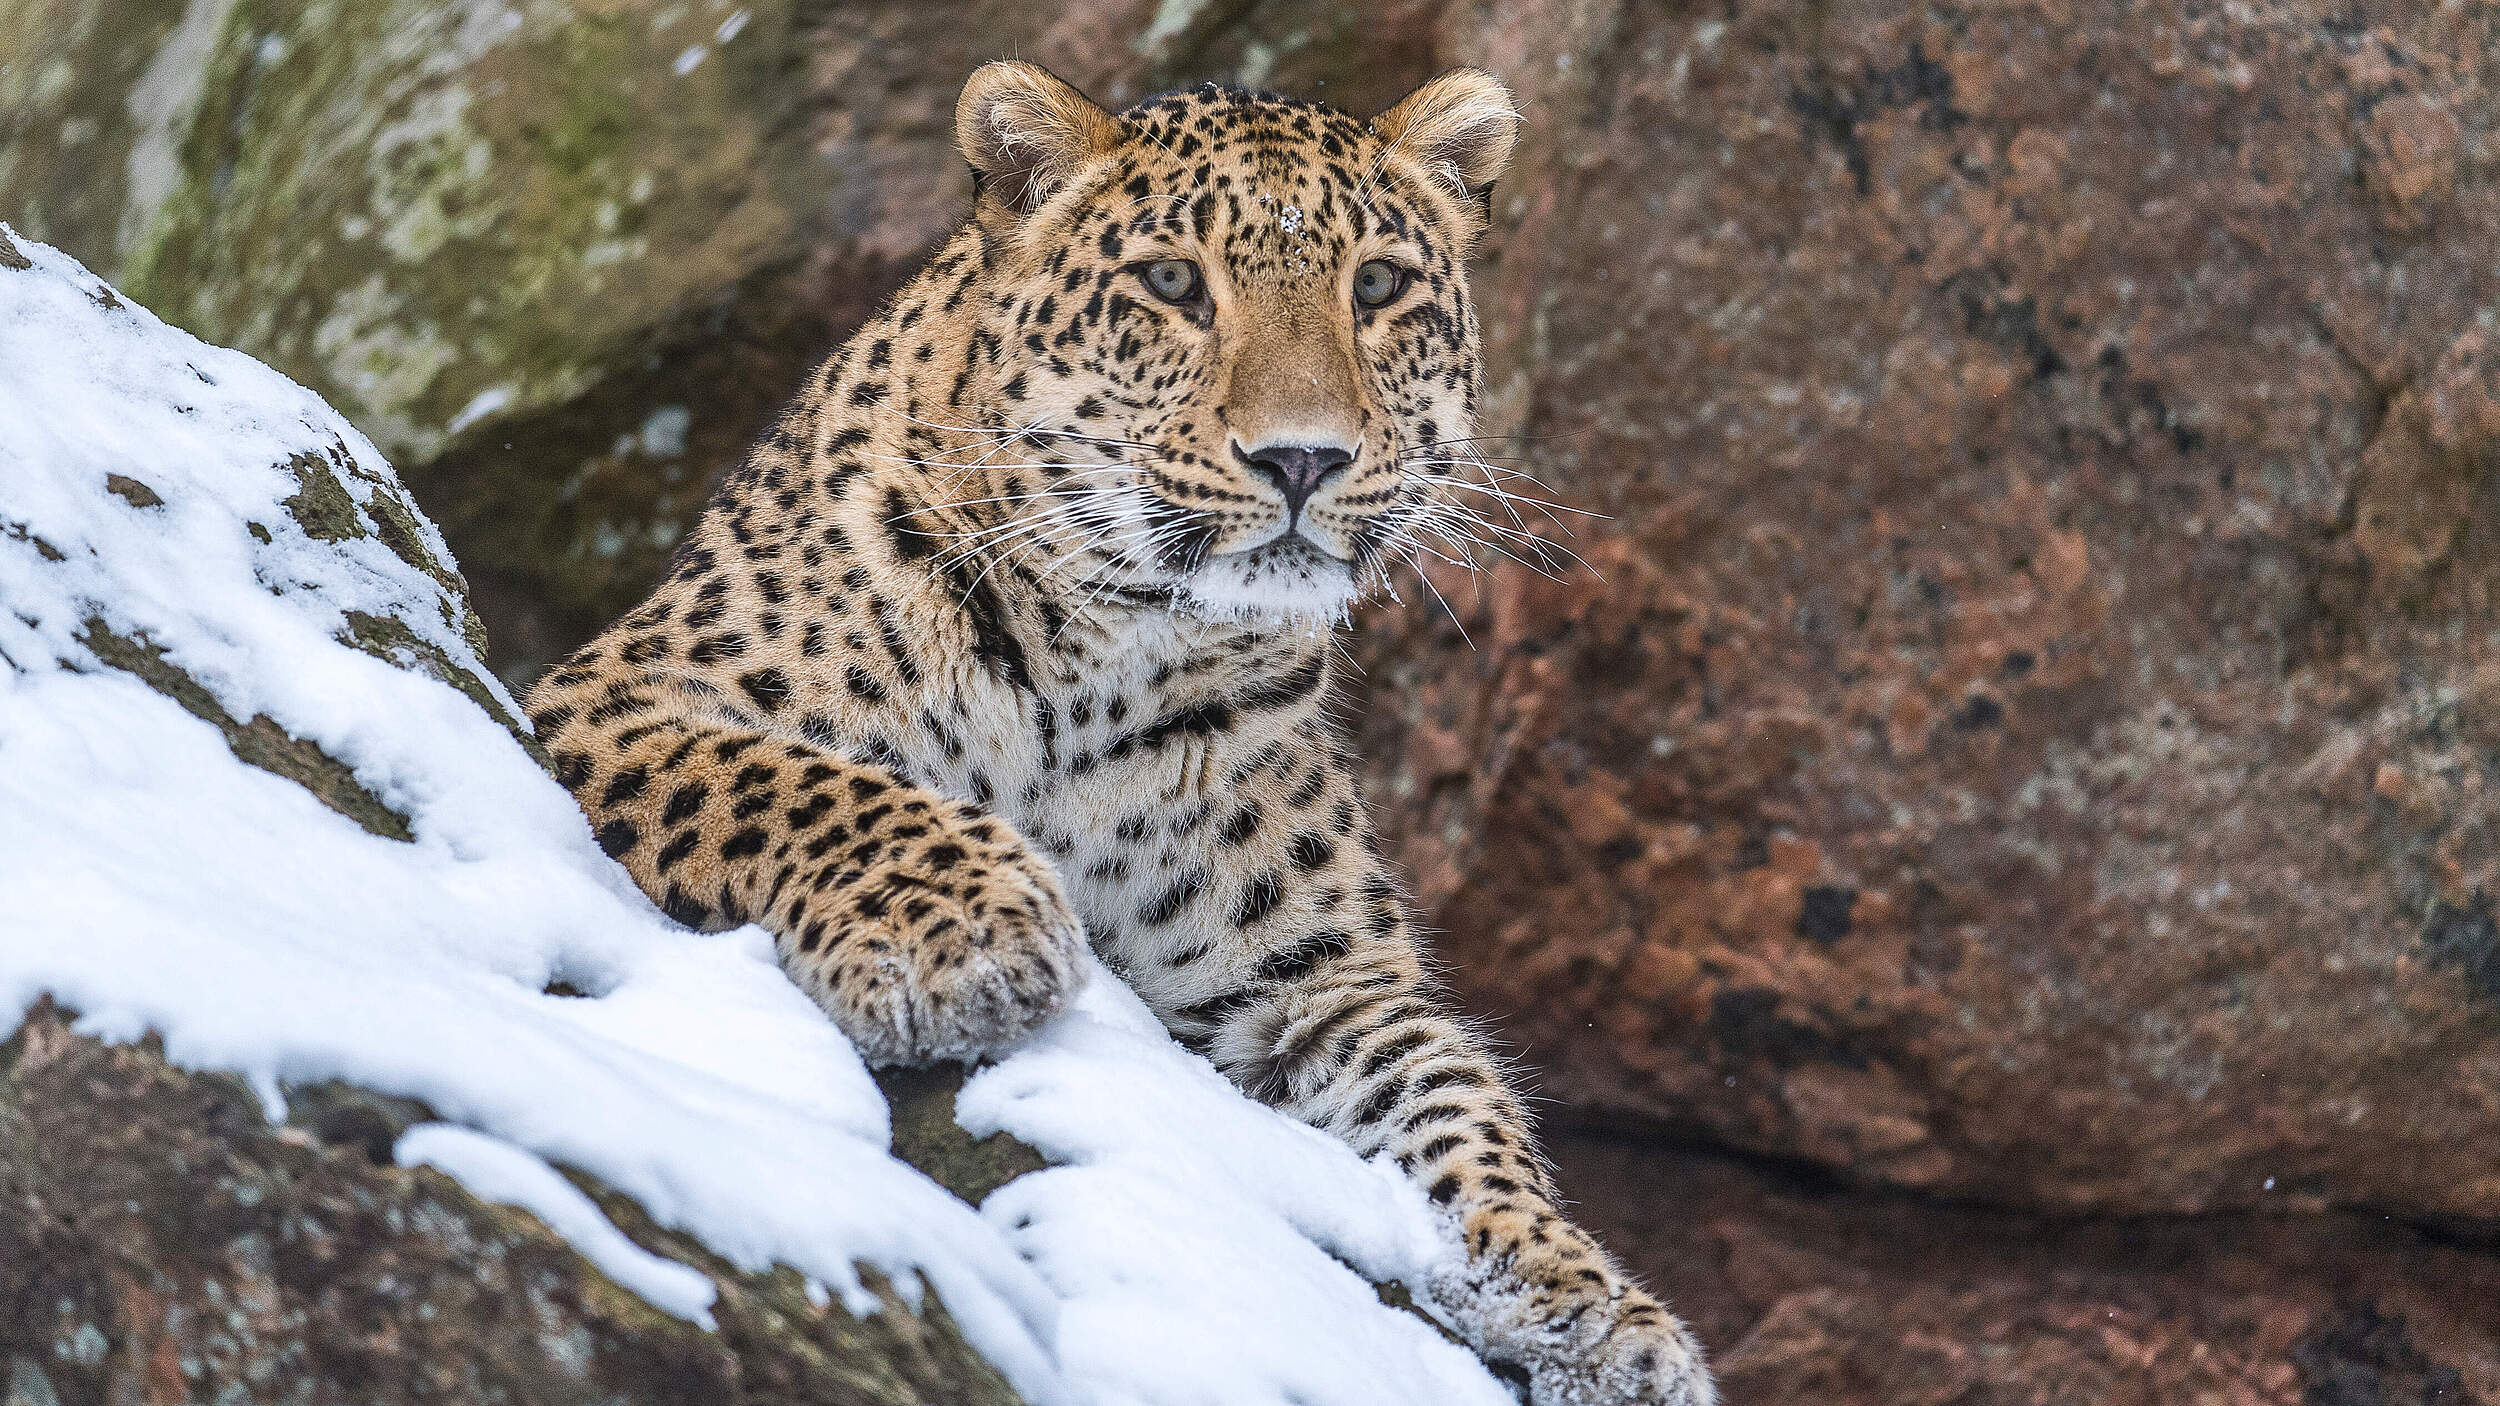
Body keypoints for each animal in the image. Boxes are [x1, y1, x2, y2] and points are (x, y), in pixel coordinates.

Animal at [524, 61, 1713, 1405]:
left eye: (1377, 288)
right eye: (1172, 284)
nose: (1302, 457)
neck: (1114, 654)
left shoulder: (1313, 987)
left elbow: (1455, 1104)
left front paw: (1588, 1302)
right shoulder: (623, 692)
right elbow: (802, 782)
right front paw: (963, 937)